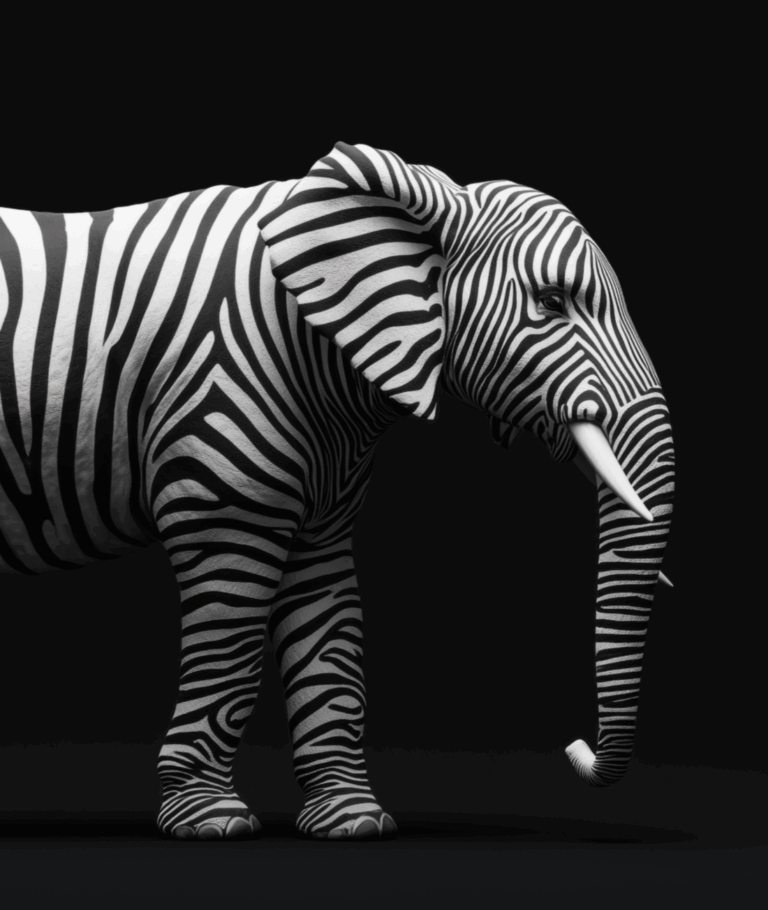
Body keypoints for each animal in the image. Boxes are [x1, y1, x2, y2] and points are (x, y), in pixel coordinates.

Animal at [0, 141, 674, 839]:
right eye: (550, 301)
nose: (573, 747)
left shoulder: (323, 483)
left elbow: (331, 626)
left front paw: (354, 822)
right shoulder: (216, 425)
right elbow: (231, 640)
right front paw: (211, 823)